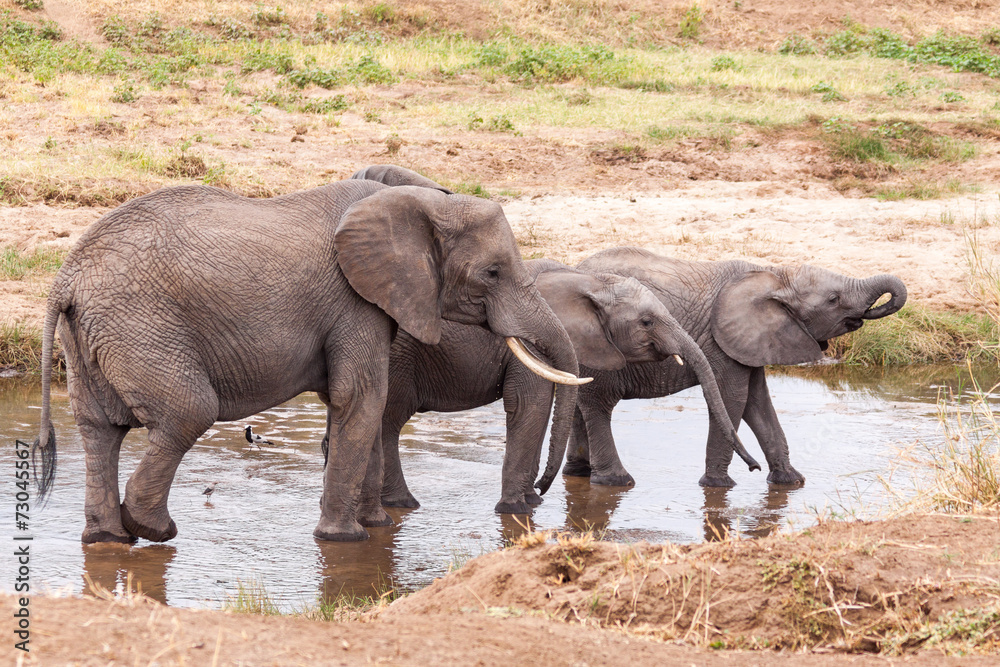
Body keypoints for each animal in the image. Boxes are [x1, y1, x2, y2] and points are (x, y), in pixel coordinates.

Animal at [31, 179, 589, 544]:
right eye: (492, 272)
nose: (543, 492)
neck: (423, 202)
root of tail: (65, 280)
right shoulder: (352, 300)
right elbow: (363, 398)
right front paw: (346, 540)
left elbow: (362, 403)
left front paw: (379, 527)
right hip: (141, 327)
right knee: (188, 411)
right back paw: (152, 529)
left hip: (92, 337)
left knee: (99, 429)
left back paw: (107, 540)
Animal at [565, 247, 907, 488]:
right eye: (833, 299)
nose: (754, 467)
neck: (776, 275)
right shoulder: (722, 345)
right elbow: (734, 400)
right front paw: (719, 486)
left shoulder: (752, 342)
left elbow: (758, 402)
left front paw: (791, 482)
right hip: (598, 348)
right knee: (598, 405)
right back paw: (615, 481)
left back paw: (578, 475)